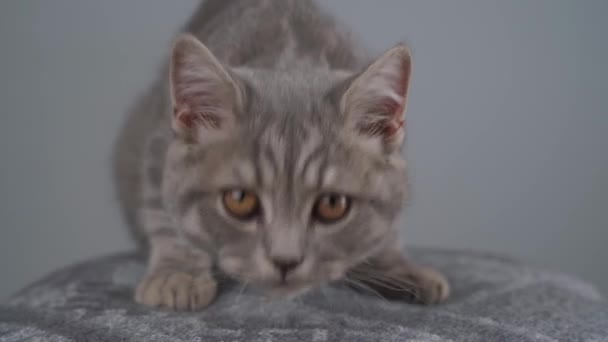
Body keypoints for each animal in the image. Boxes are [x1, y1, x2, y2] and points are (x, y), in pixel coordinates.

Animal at [114, 0, 448, 312]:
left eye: (333, 204)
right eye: (239, 200)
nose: (285, 260)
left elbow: (386, 229)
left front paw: (396, 266)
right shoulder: (157, 149)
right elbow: (163, 215)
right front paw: (177, 274)